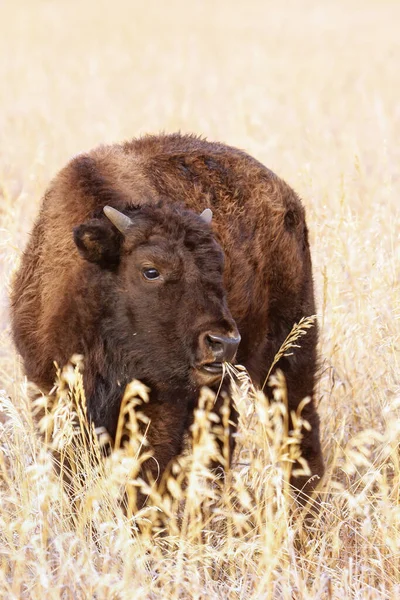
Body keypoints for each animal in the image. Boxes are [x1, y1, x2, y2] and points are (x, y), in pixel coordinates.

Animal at [10, 134, 324, 500]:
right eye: (151, 270)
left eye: (220, 266)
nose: (224, 341)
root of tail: (288, 199)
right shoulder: (49, 392)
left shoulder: (162, 405)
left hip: (289, 346)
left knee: (298, 425)